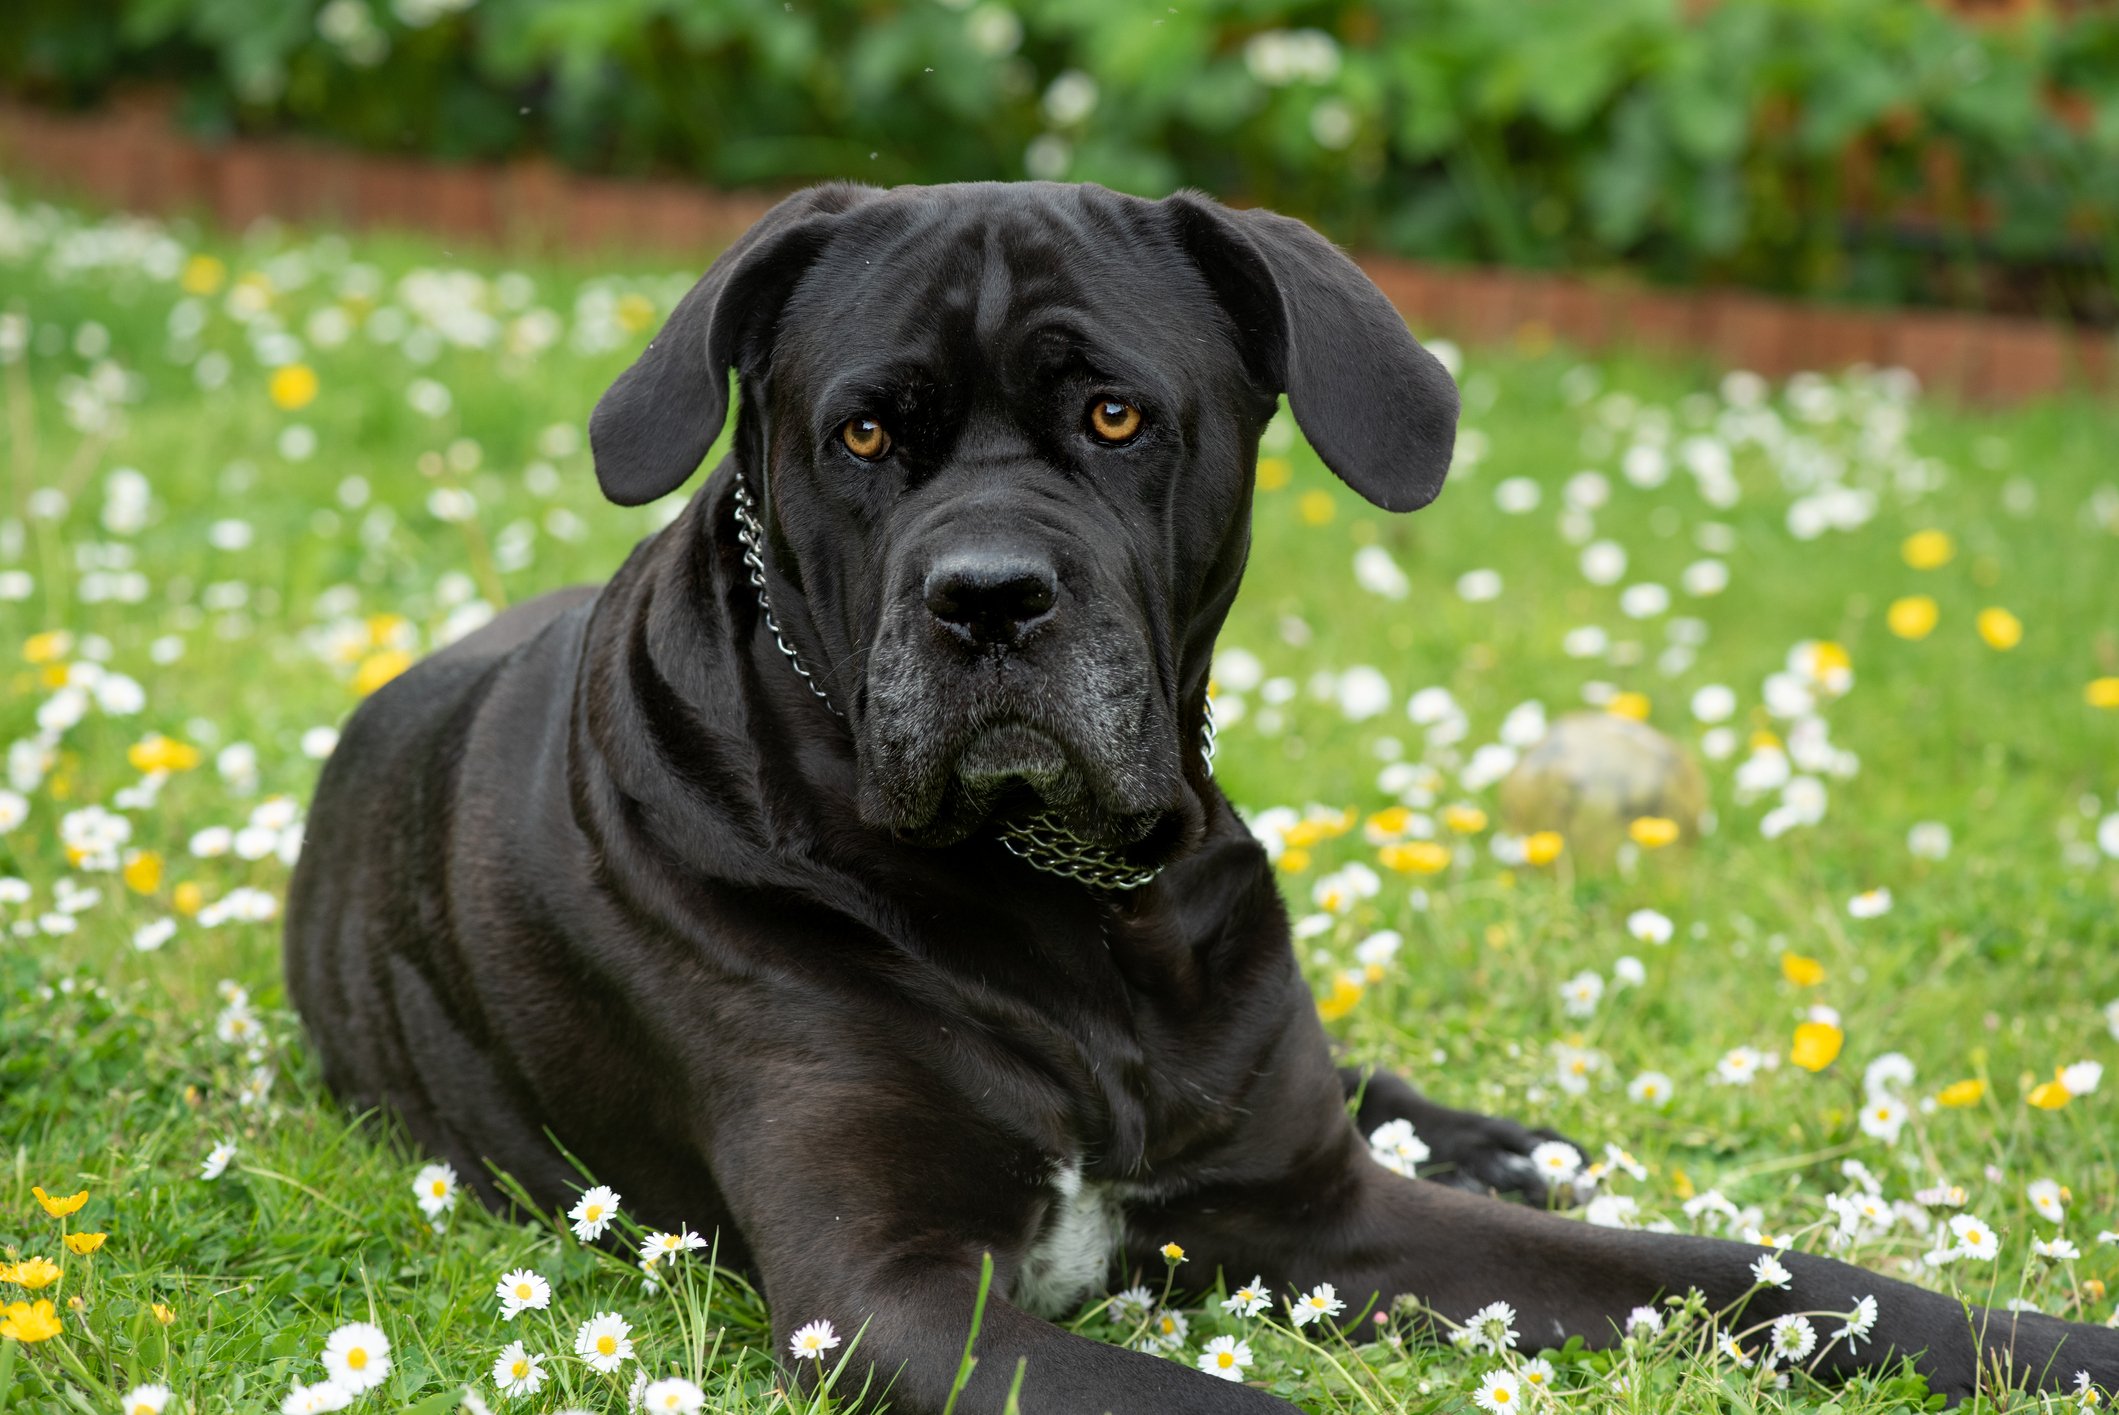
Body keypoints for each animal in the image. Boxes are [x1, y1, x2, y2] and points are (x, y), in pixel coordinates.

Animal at [286, 182, 2119, 1406]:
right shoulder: (877, 1289)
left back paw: (1503, 1138)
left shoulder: (1330, 1215)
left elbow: (1758, 1272)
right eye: (864, 436)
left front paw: (2042, 1342)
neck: (1070, 903)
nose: (987, 600)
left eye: (1113, 414)